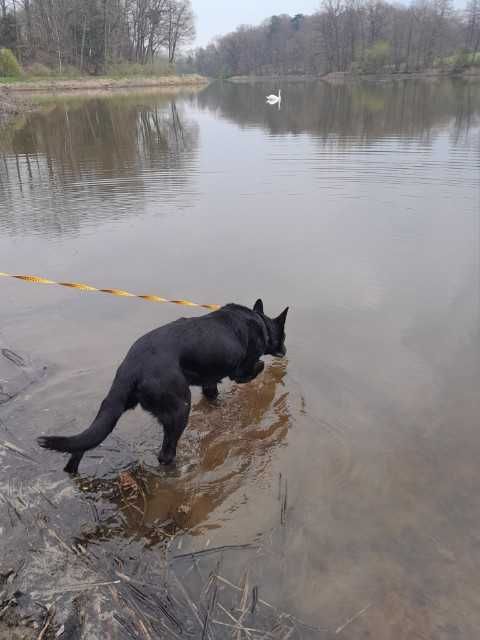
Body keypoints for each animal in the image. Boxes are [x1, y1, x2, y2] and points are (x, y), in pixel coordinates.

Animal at [38, 298, 288, 472]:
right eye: (283, 336)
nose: (285, 351)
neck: (259, 322)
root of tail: (132, 366)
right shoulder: (241, 372)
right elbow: (258, 366)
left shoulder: (209, 382)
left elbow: (212, 393)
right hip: (179, 410)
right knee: (165, 454)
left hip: (115, 408)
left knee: (83, 443)